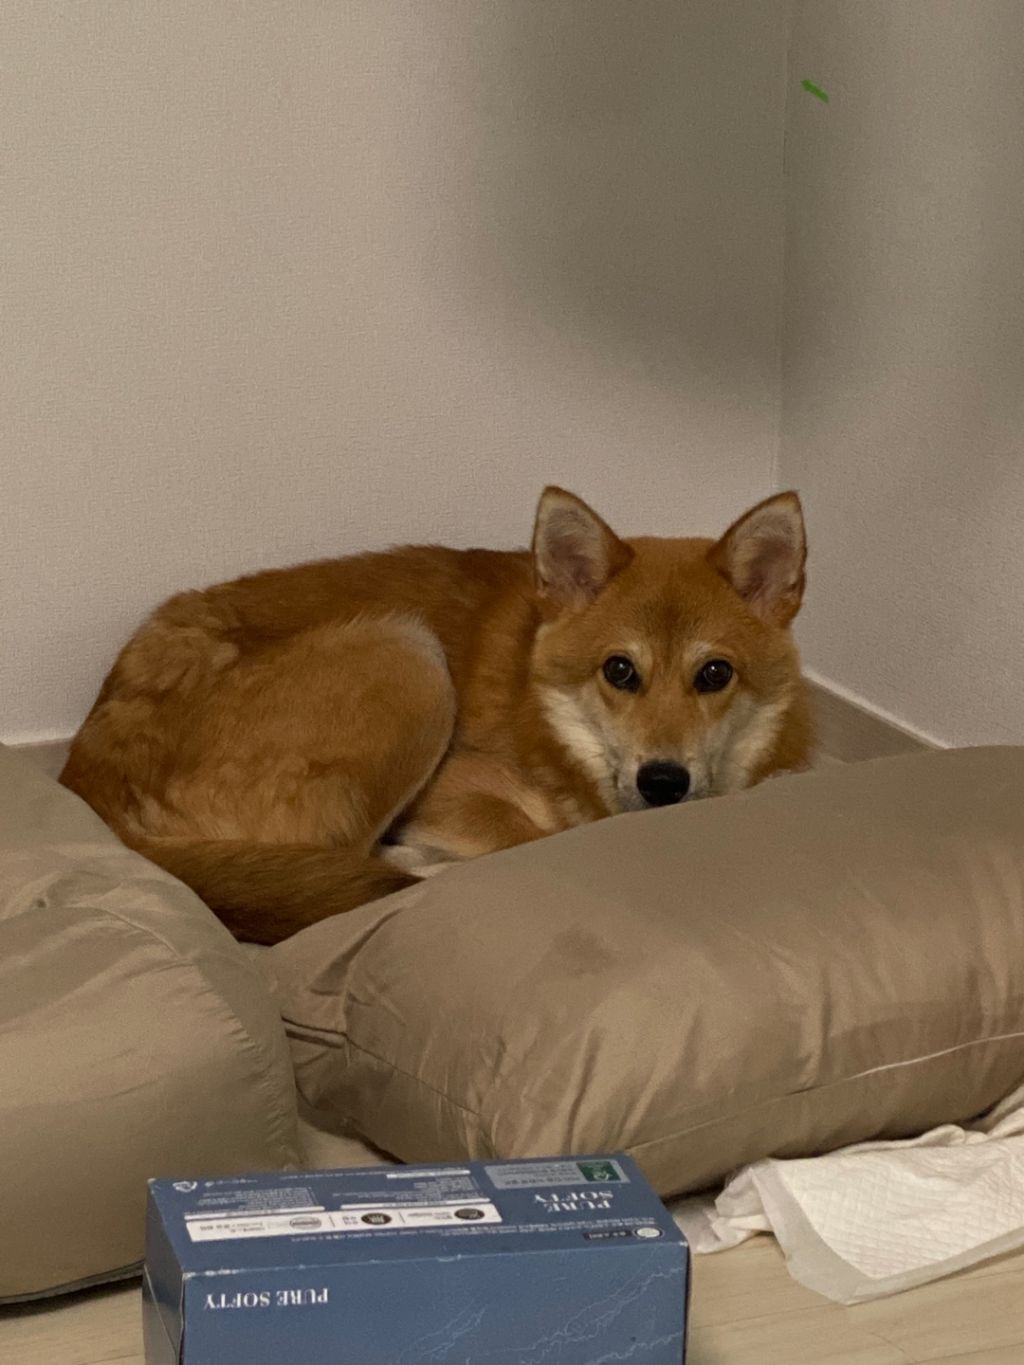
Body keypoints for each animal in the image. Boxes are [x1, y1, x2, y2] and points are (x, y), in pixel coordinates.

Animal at [60, 487, 813, 945]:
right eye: (619, 670)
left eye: (714, 673)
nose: (663, 782)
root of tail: (88, 782)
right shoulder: (457, 783)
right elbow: (531, 839)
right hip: (407, 656)